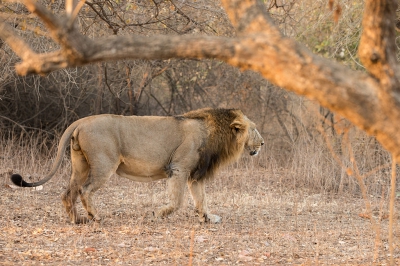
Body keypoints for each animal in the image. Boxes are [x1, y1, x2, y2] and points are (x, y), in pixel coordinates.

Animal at [10, 107, 264, 223]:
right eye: (254, 129)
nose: (262, 143)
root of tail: (82, 120)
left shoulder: (195, 175)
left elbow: (202, 200)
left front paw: (208, 218)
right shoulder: (179, 168)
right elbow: (177, 201)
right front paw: (158, 213)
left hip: (80, 165)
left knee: (67, 192)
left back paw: (76, 220)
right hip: (104, 164)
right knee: (85, 190)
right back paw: (95, 216)